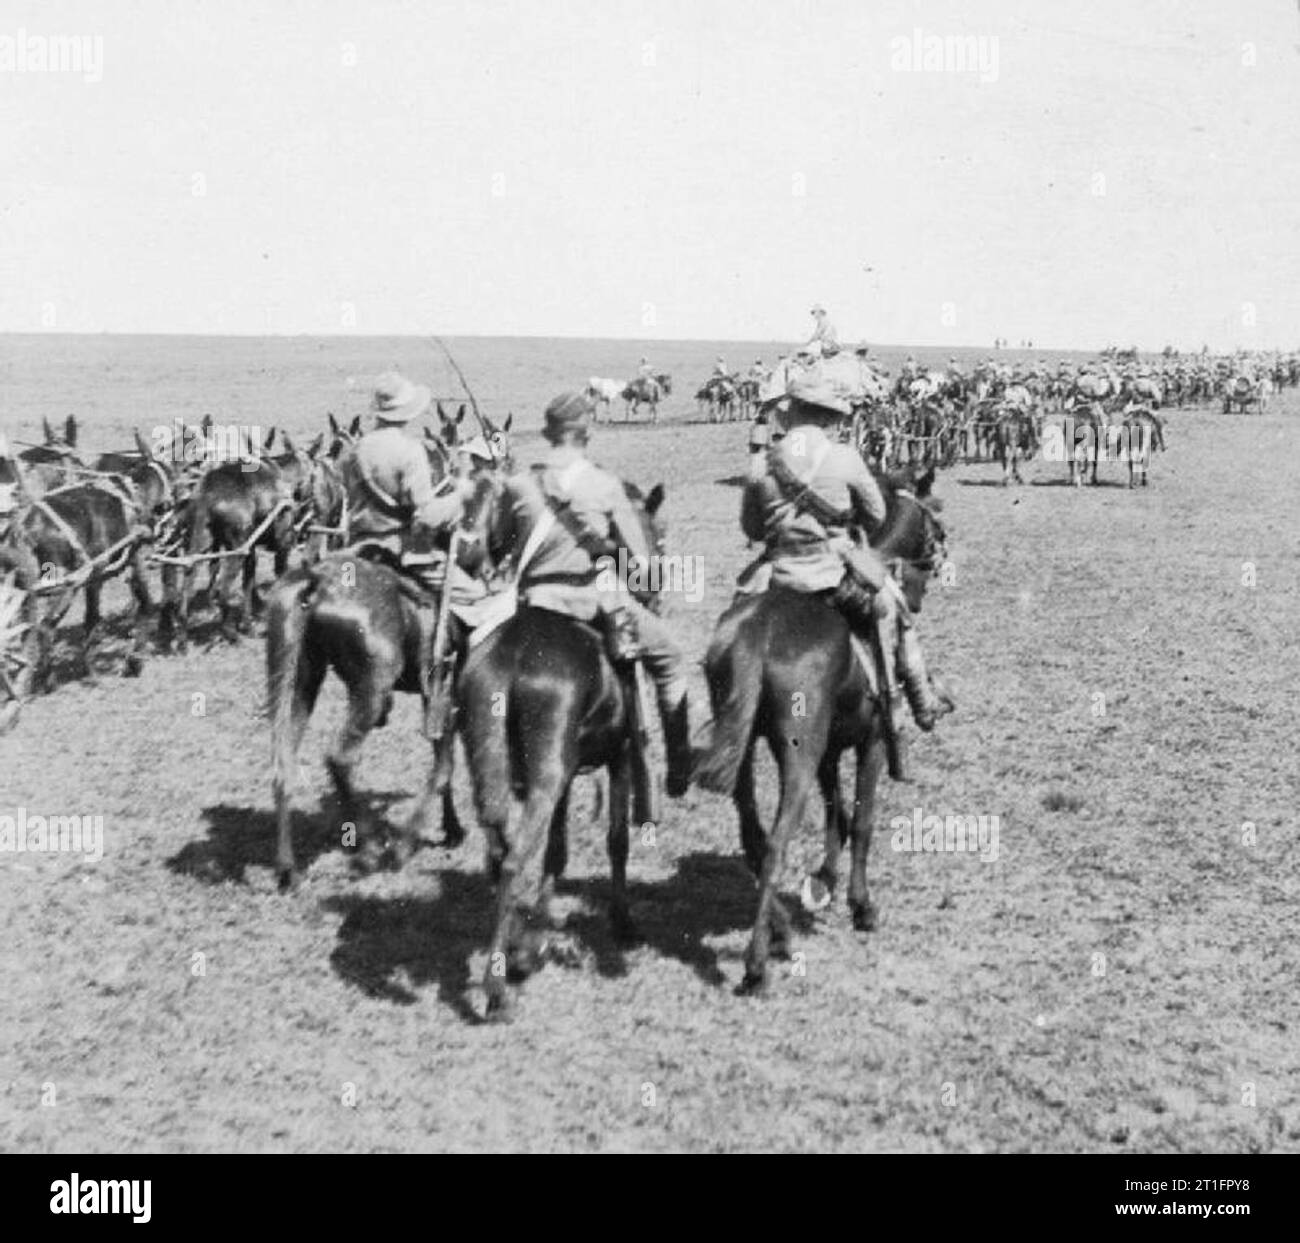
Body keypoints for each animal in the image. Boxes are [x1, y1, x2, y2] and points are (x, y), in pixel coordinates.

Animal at [454, 478, 665, 1019]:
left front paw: (537, 935)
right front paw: (623, 921)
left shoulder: (566, 772)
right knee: (512, 860)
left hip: (504, 767)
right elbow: (616, 839)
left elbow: (557, 850)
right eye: (657, 535)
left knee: (500, 849)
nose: (653, 590)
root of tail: (512, 658)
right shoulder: (618, 757)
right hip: (549, 774)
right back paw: (497, 986)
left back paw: (515, 948)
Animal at [691, 468, 946, 998]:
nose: (936, 560)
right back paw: (757, 964)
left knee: (755, 837)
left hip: (746, 751)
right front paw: (862, 905)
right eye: (933, 520)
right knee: (777, 842)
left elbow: (836, 816)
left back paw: (780, 932)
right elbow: (862, 820)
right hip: (798, 755)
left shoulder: (829, 750)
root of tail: (759, 634)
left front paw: (824, 880)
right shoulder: (870, 743)